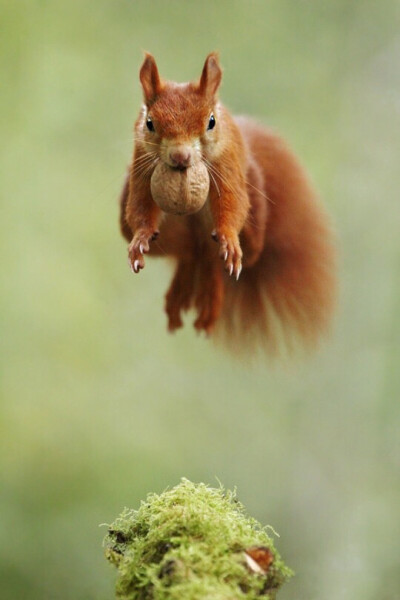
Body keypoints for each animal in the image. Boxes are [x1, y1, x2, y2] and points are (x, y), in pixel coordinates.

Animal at [120, 54, 336, 354]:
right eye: (150, 123)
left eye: (211, 121)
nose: (180, 157)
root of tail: (199, 247)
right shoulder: (141, 163)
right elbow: (140, 204)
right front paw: (140, 238)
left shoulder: (228, 162)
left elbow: (233, 203)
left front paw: (229, 238)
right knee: (187, 256)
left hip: (254, 221)